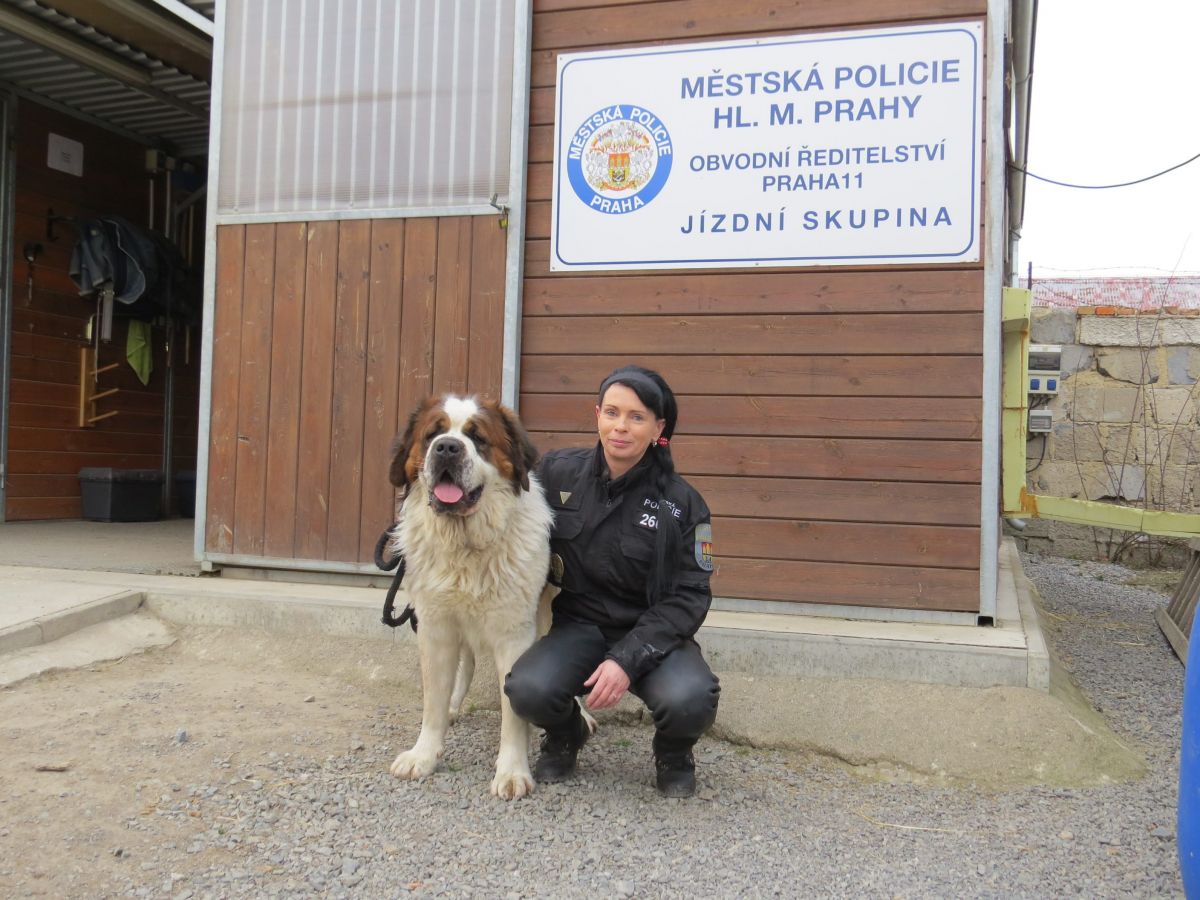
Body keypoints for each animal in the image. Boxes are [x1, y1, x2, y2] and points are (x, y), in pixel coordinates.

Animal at [384, 398, 552, 801]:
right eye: (432, 434)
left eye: (478, 438)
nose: (447, 447)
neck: (466, 545)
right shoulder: (435, 626)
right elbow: (432, 696)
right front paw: (424, 754)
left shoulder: (514, 636)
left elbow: (513, 711)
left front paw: (512, 771)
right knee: (467, 665)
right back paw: (454, 705)